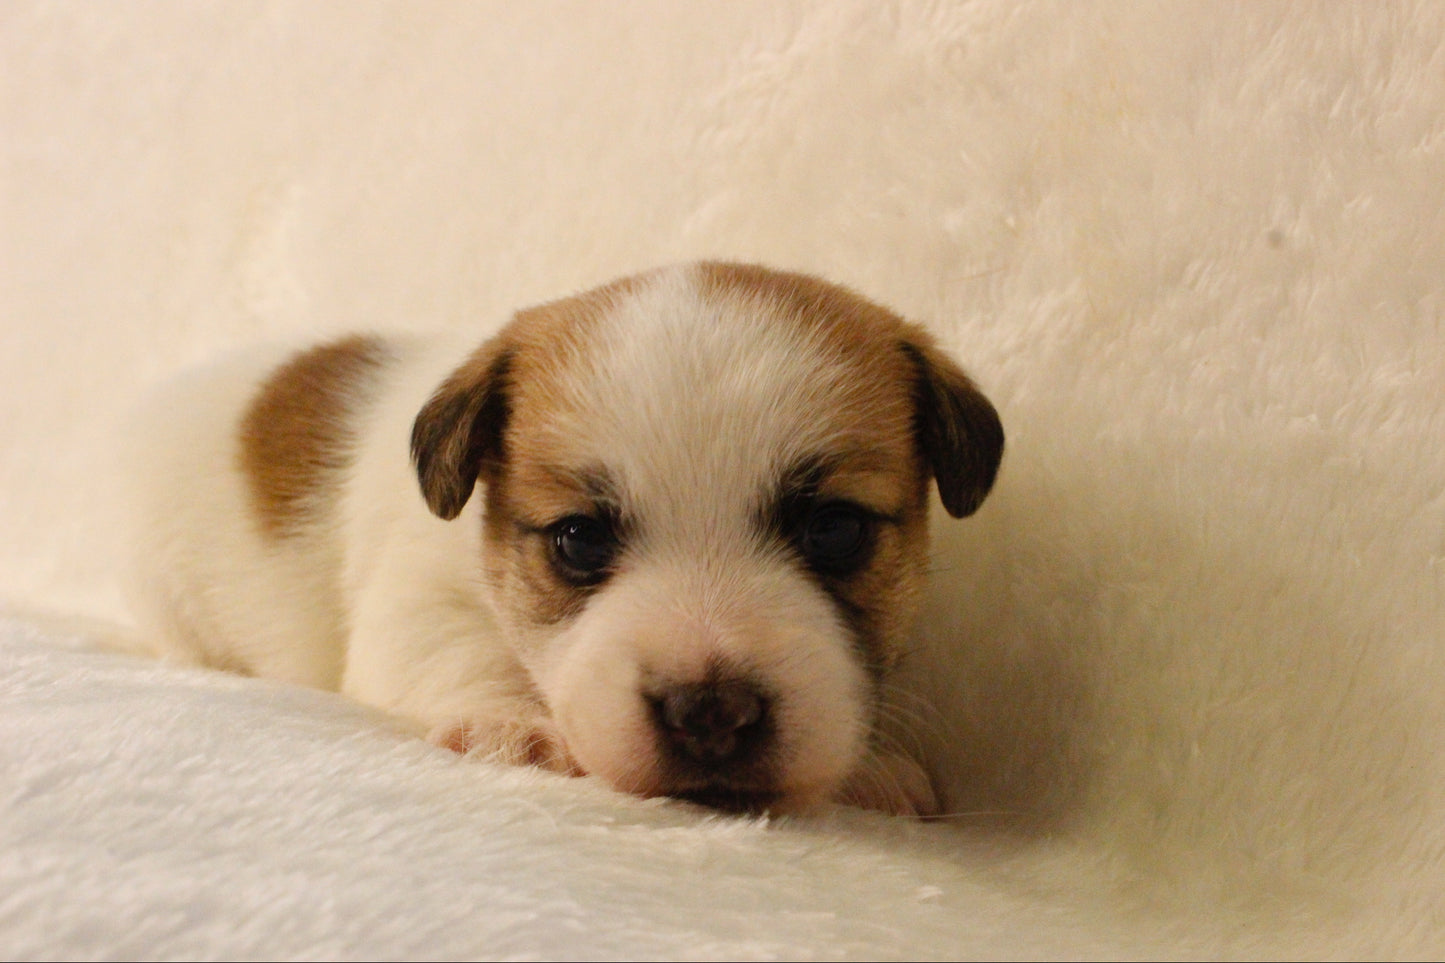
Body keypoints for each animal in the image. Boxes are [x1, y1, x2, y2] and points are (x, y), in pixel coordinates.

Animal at [121, 260, 1005, 809]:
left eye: (835, 530)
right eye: (577, 540)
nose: (709, 712)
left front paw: (871, 767)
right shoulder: (416, 606)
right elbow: (463, 652)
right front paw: (512, 727)